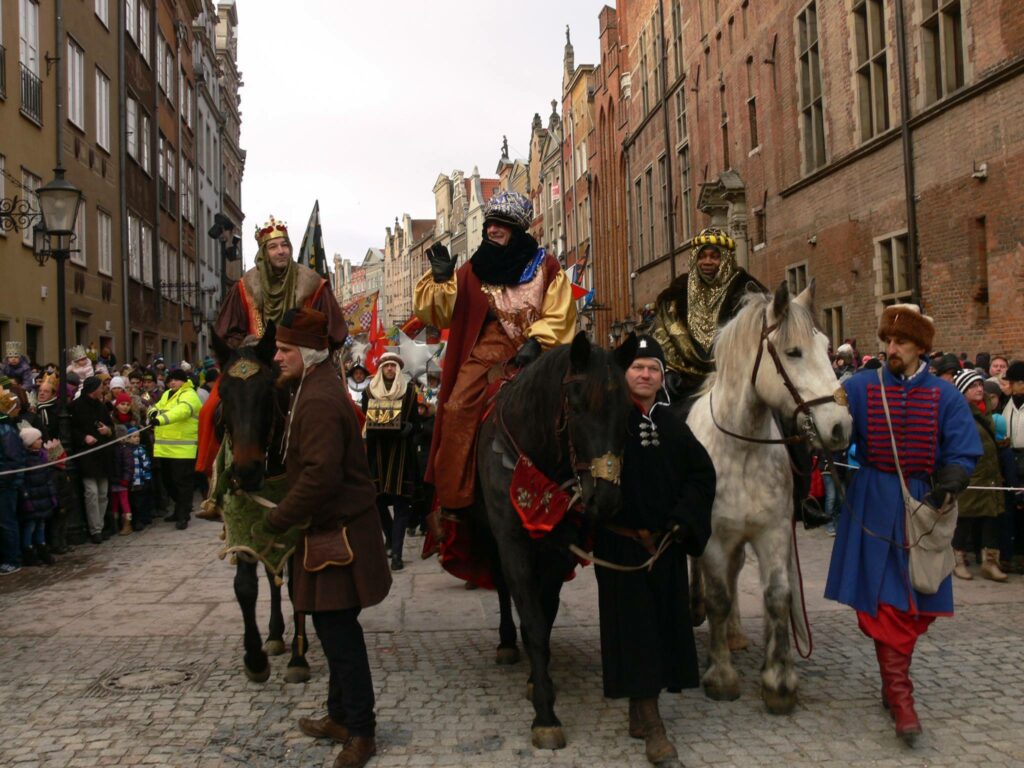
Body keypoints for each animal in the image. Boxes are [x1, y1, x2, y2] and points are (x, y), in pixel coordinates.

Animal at [209, 325, 309, 684]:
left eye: (268, 392)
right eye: (223, 394)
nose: (246, 470)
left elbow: (297, 586)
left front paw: (299, 658)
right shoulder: (243, 523)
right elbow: (245, 587)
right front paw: (254, 657)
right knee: (270, 573)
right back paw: (276, 635)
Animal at [468, 331, 626, 753]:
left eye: (625, 407)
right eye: (577, 404)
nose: (605, 498)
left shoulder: (558, 550)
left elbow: (547, 613)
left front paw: (541, 683)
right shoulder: (512, 544)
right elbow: (534, 621)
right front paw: (545, 715)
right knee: (501, 587)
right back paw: (507, 642)